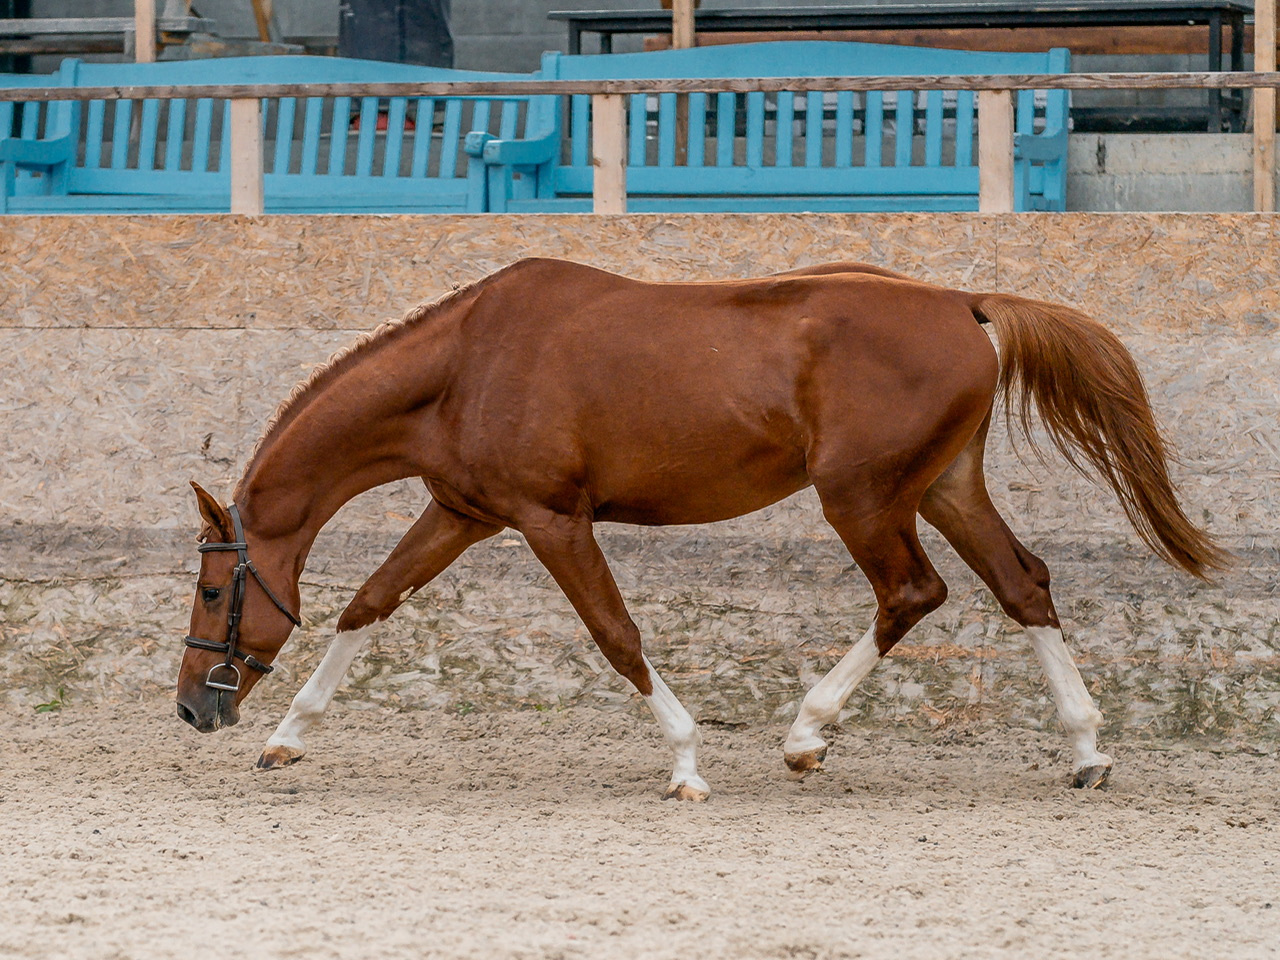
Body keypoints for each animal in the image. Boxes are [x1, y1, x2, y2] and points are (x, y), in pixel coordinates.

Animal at [177, 258, 1226, 800]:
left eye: (214, 587)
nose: (193, 709)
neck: (464, 364)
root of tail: (966, 305)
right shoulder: (464, 513)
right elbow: (368, 605)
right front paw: (289, 739)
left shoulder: (552, 520)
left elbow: (617, 634)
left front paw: (686, 763)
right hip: (944, 488)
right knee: (1024, 584)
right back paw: (1086, 750)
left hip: (861, 497)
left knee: (912, 593)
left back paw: (806, 735)